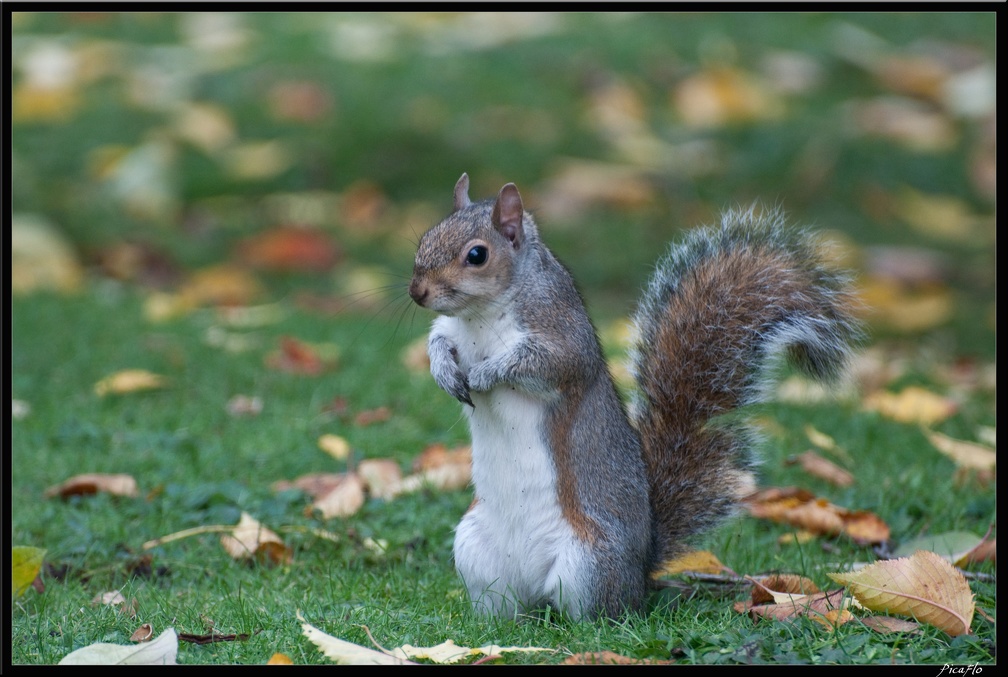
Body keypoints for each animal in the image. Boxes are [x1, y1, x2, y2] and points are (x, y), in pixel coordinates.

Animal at [405, 173, 862, 620]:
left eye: (476, 255)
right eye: (426, 237)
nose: (417, 292)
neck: (479, 317)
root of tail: (641, 571)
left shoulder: (561, 336)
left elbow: (540, 364)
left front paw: (485, 373)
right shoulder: (451, 328)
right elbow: (437, 340)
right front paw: (444, 370)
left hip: (589, 564)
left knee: (598, 614)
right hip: (474, 550)